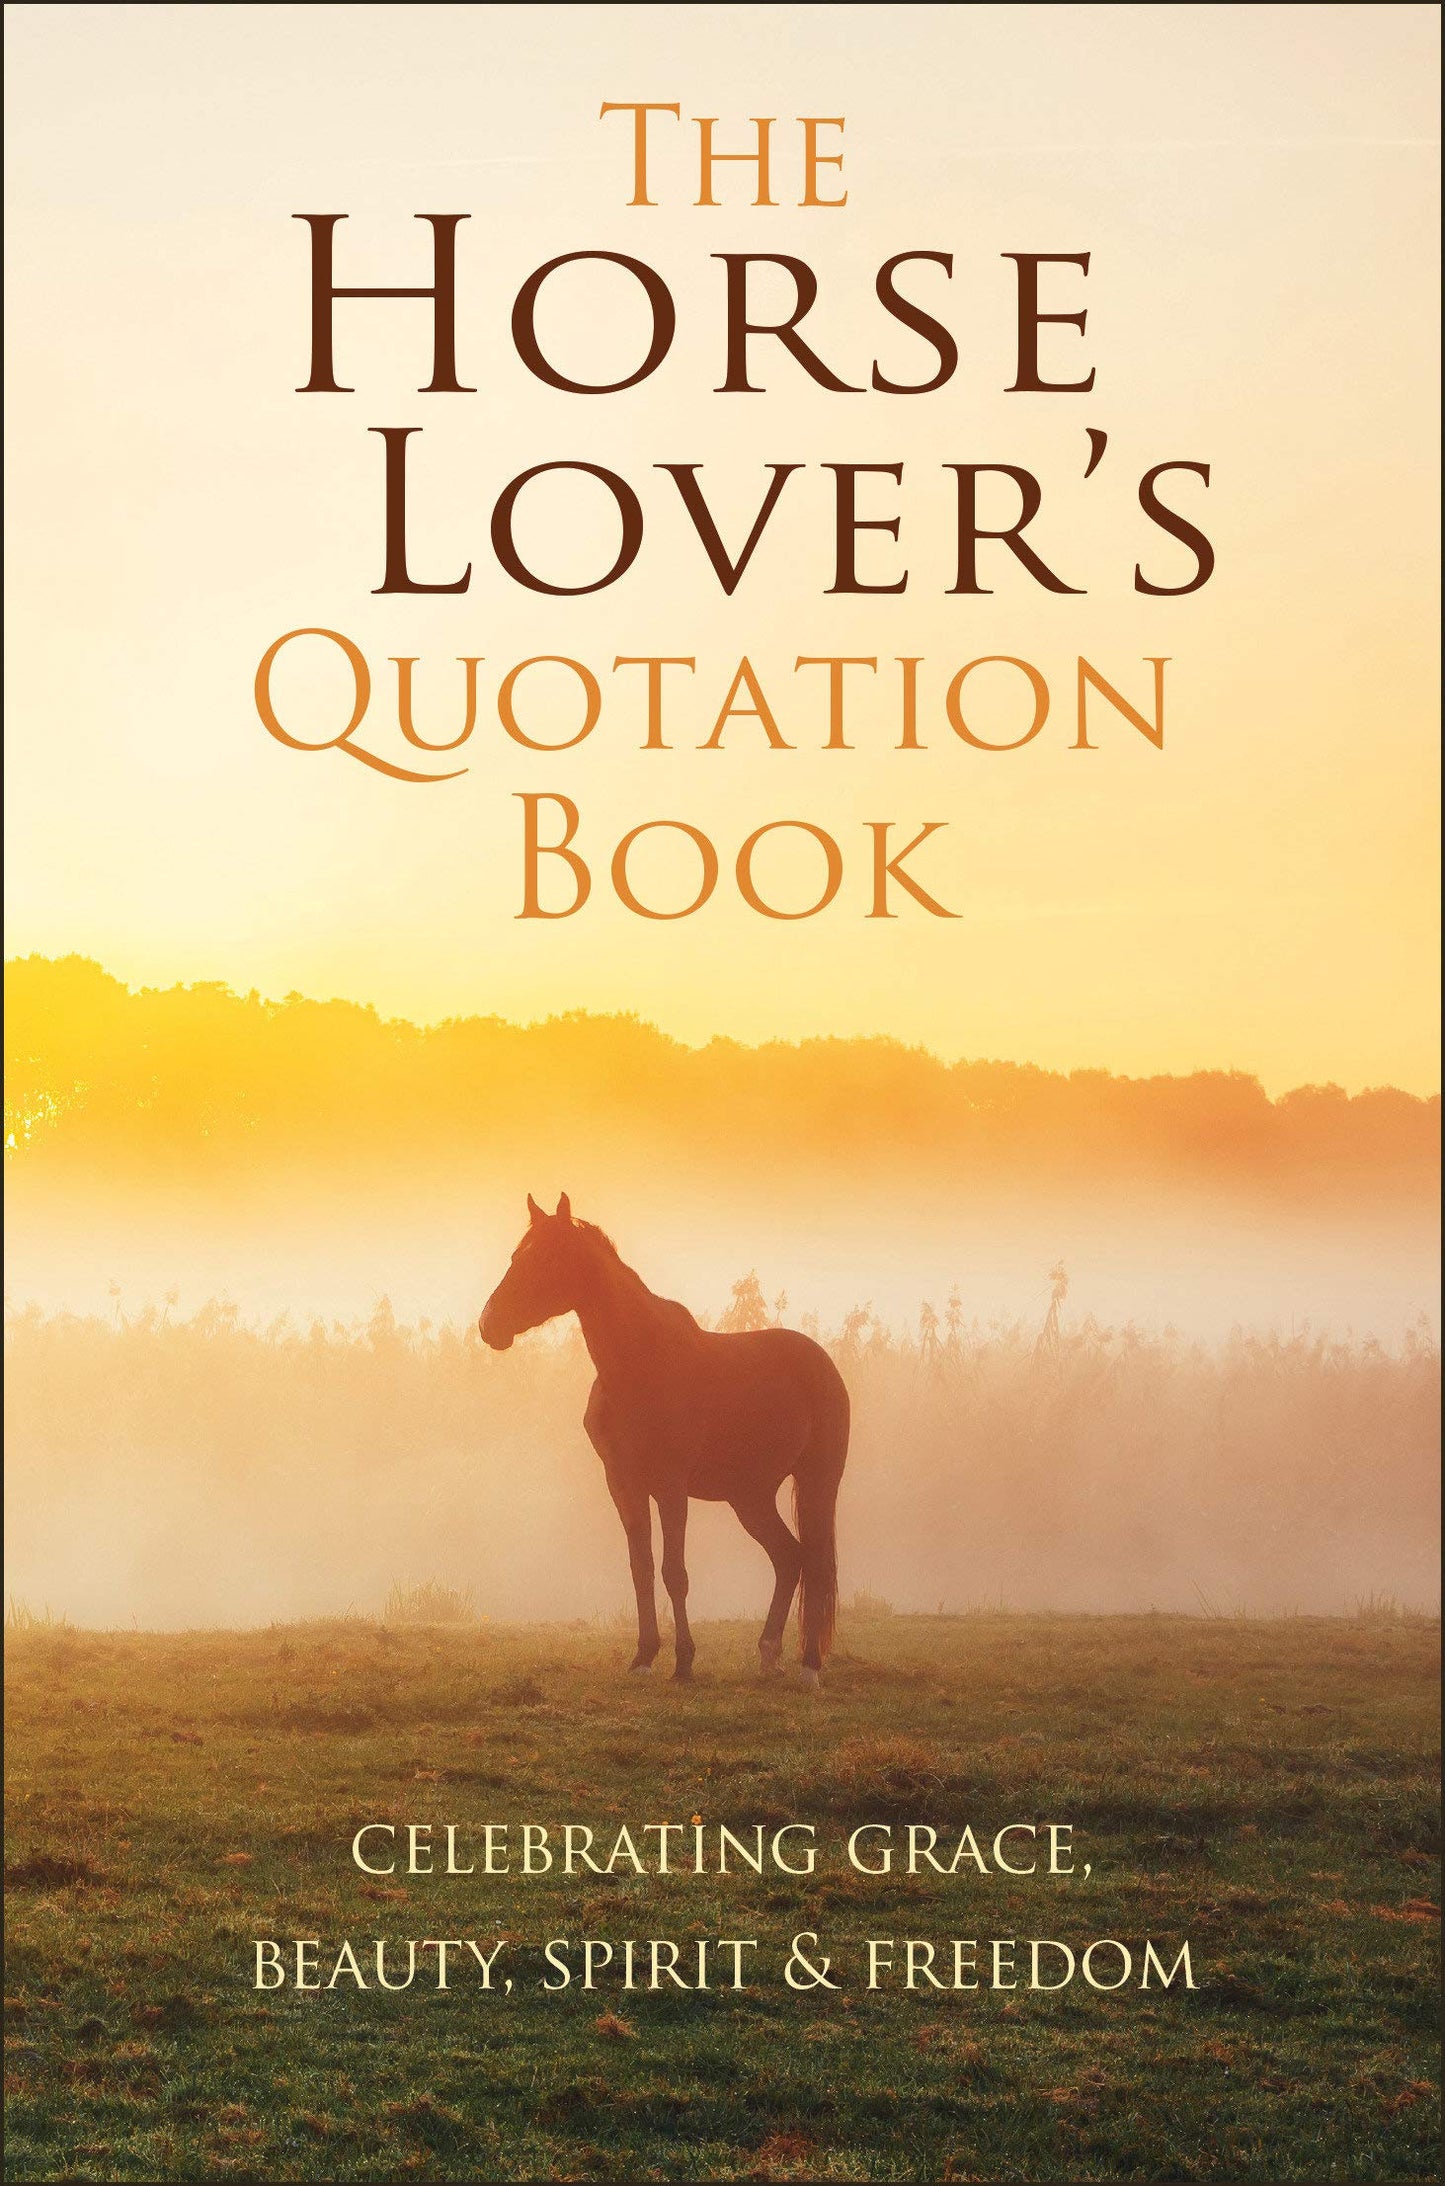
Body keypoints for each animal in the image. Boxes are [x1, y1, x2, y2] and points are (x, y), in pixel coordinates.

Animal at [478, 1195, 850, 1684]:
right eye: (517, 1256)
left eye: (546, 1257)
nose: (489, 1325)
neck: (640, 1364)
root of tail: (824, 1365)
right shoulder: (623, 1483)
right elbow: (642, 1568)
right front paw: (643, 1656)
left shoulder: (671, 1486)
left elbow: (675, 1572)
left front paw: (684, 1661)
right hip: (750, 1496)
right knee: (789, 1558)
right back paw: (769, 1653)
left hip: (817, 1483)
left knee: (815, 1562)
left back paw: (808, 1667)